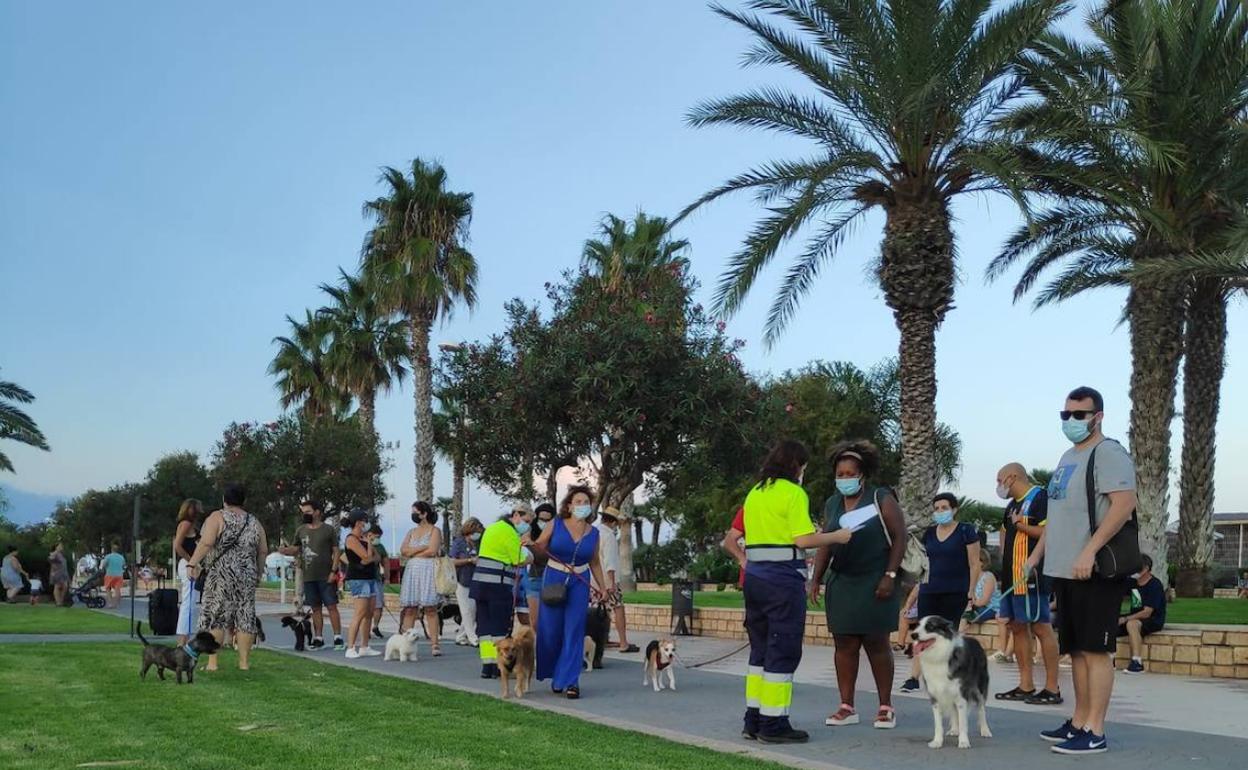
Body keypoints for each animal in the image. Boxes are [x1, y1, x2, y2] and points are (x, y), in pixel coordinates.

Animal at [913, 611, 988, 743]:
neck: (938, 657)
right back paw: (954, 729)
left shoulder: (961, 694)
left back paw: (985, 730)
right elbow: (938, 724)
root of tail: (976, 640)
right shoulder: (935, 695)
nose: (913, 635)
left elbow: (963, 721)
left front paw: (963, 742)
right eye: (917, 625)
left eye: (930, 627)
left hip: (979, 687)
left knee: (981, 707)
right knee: (954, 710)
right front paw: (937, 742)